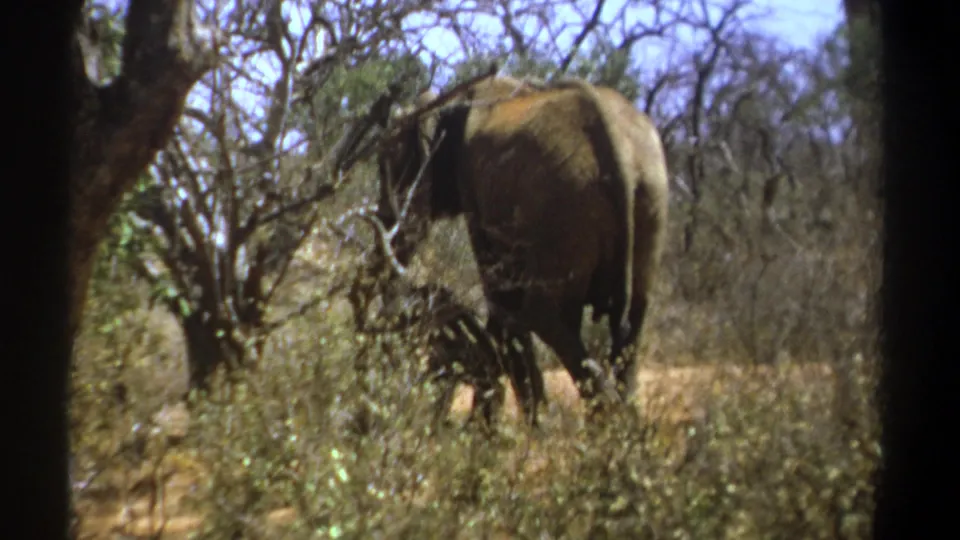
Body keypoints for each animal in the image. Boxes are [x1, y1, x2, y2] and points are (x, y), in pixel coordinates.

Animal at [375, 75, 670, 427]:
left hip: (562, 211)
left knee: (541, 314)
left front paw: (486, 429)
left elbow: (500, 296)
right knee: (631, 324)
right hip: (648, 198)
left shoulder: (473, 182)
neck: (446, 101)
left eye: (388, 167)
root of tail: (620, 154)